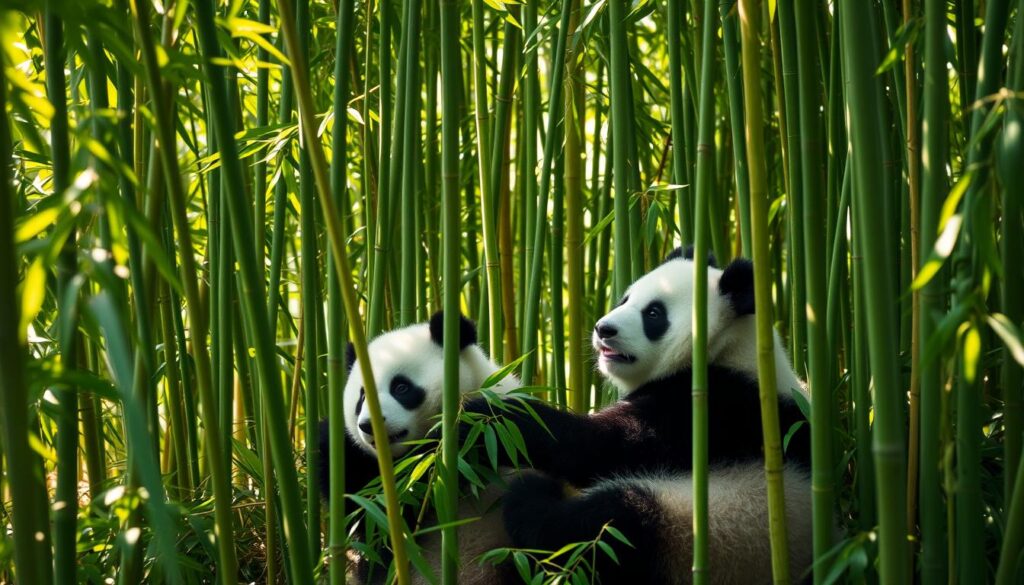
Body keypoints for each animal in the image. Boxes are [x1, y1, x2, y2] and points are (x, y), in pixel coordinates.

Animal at [460, 251, 811, 585]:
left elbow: (602, 447)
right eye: (625, 299)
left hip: (707, 528)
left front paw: (484, 420)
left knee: (602, 527)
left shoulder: (711, 407)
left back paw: (532, 496)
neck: (730, 348)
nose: (603, 329)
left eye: (654, 314)